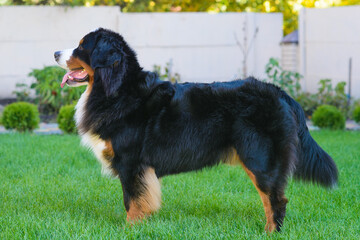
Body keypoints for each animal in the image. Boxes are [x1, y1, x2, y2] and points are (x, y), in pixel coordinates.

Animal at [54, 28, 338, 232]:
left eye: (82, 46)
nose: (55, 52)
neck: (117, 90)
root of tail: (280, 93)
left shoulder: (131, 162)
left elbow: (132, 202)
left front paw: (129, 230)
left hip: (260, 158)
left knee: (275, 200)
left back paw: (271, 233)